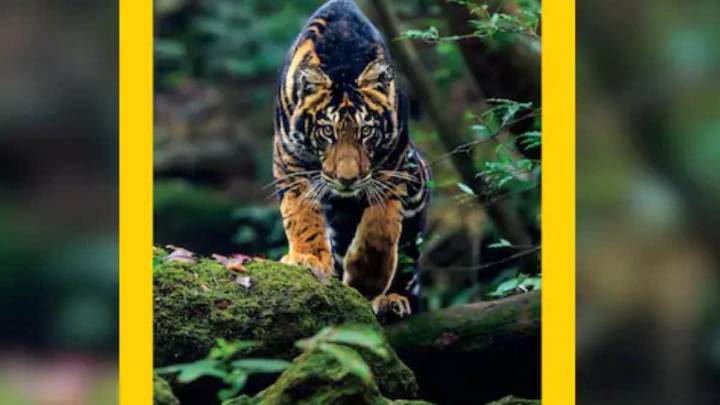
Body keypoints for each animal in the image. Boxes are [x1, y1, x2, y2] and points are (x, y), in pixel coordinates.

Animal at [272, 0, 430, 320]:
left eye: (366, 131)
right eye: (327, 130)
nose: (347, 179)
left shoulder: (392, 168)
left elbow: (380, 228)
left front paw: (367, 279)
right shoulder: (290, 162)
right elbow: (301, 215)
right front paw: (307, 259)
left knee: (407, 262)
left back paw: (392, 299)